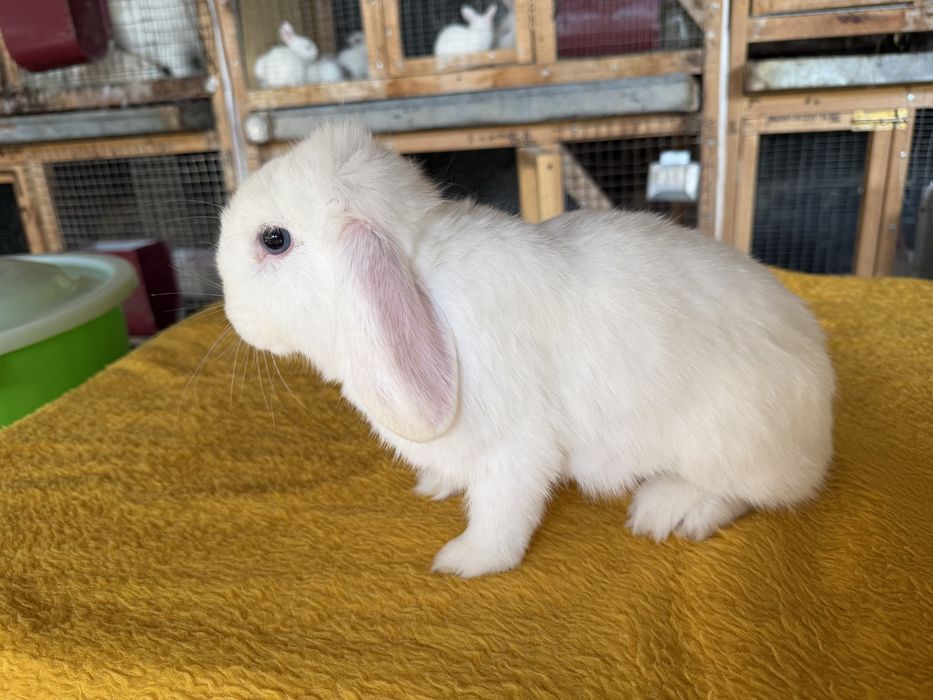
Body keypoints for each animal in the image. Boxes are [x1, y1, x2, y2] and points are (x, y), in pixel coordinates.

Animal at [216, 122, 836, 578]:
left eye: (274, 240)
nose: (233, 315)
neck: (420, 277)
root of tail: (822, 416)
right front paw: (436, 485)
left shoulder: (516, 448)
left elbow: (502, 514)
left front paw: (464, 561)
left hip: (729, 441)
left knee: (754, 493)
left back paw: (669, 509)